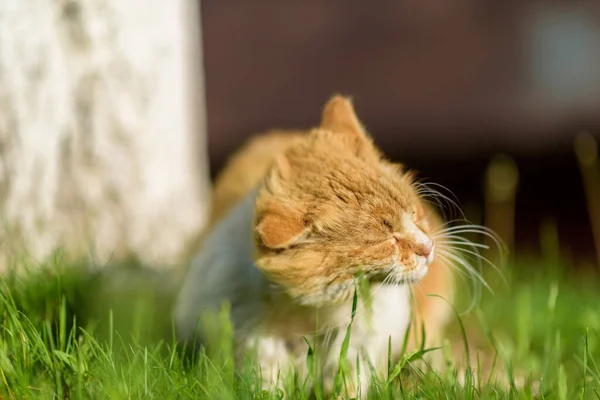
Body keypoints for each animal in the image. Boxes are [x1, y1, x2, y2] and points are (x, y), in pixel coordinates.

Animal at [176, 94, 458, 396]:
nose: (427, 247)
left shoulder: (359, 351)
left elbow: (350, 386)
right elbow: (267, 385)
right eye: (385, 239)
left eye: (413, 214)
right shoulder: (255, 350)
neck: (310, 316)